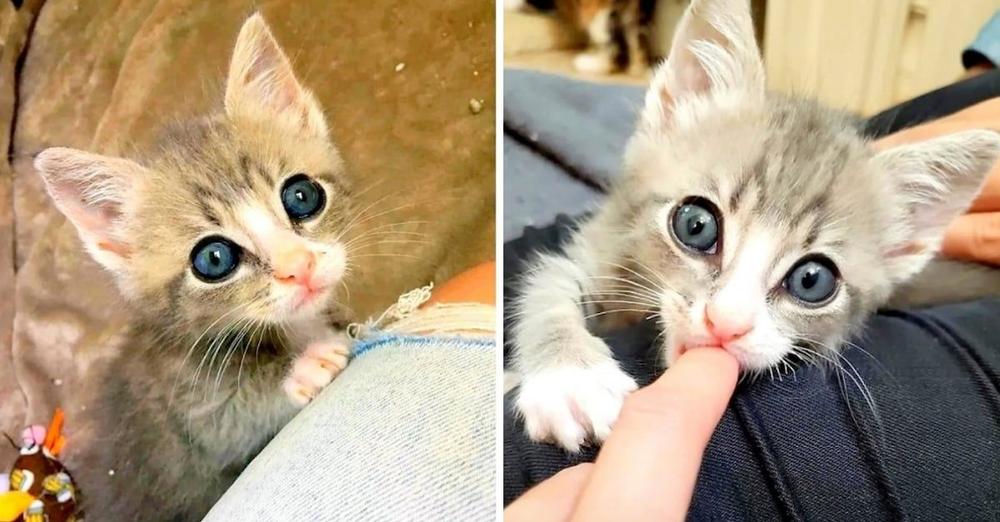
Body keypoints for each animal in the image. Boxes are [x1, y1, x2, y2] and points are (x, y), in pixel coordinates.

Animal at [39, 14, 360, 516]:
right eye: (214, 258)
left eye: (302, 195)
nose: (300, 266)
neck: (293, 328)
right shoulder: (184, 408)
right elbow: (224, 421)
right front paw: (302, 369)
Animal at [512, 0, 1000, 448]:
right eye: (695, 226)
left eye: (811, 280)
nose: (726, 324)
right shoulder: (598, 243)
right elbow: (546, 286)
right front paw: (570, 376)